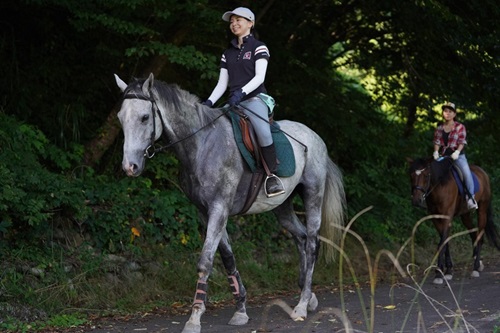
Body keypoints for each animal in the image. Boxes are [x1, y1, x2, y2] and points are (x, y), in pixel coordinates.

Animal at [115, 73, 346, 332]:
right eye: (120, 118)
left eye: (145, 117)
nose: (130, 167)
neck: (201, 144)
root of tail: (316, 138)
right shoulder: (206, 212)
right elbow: (227, 258)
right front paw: (240, 310)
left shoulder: (219, 208)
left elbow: (205, 261)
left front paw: (194, 318)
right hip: (282, 207)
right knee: (302, 238)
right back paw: (308, 294)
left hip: (313, 195)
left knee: (313, 242)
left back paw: (302, 305)